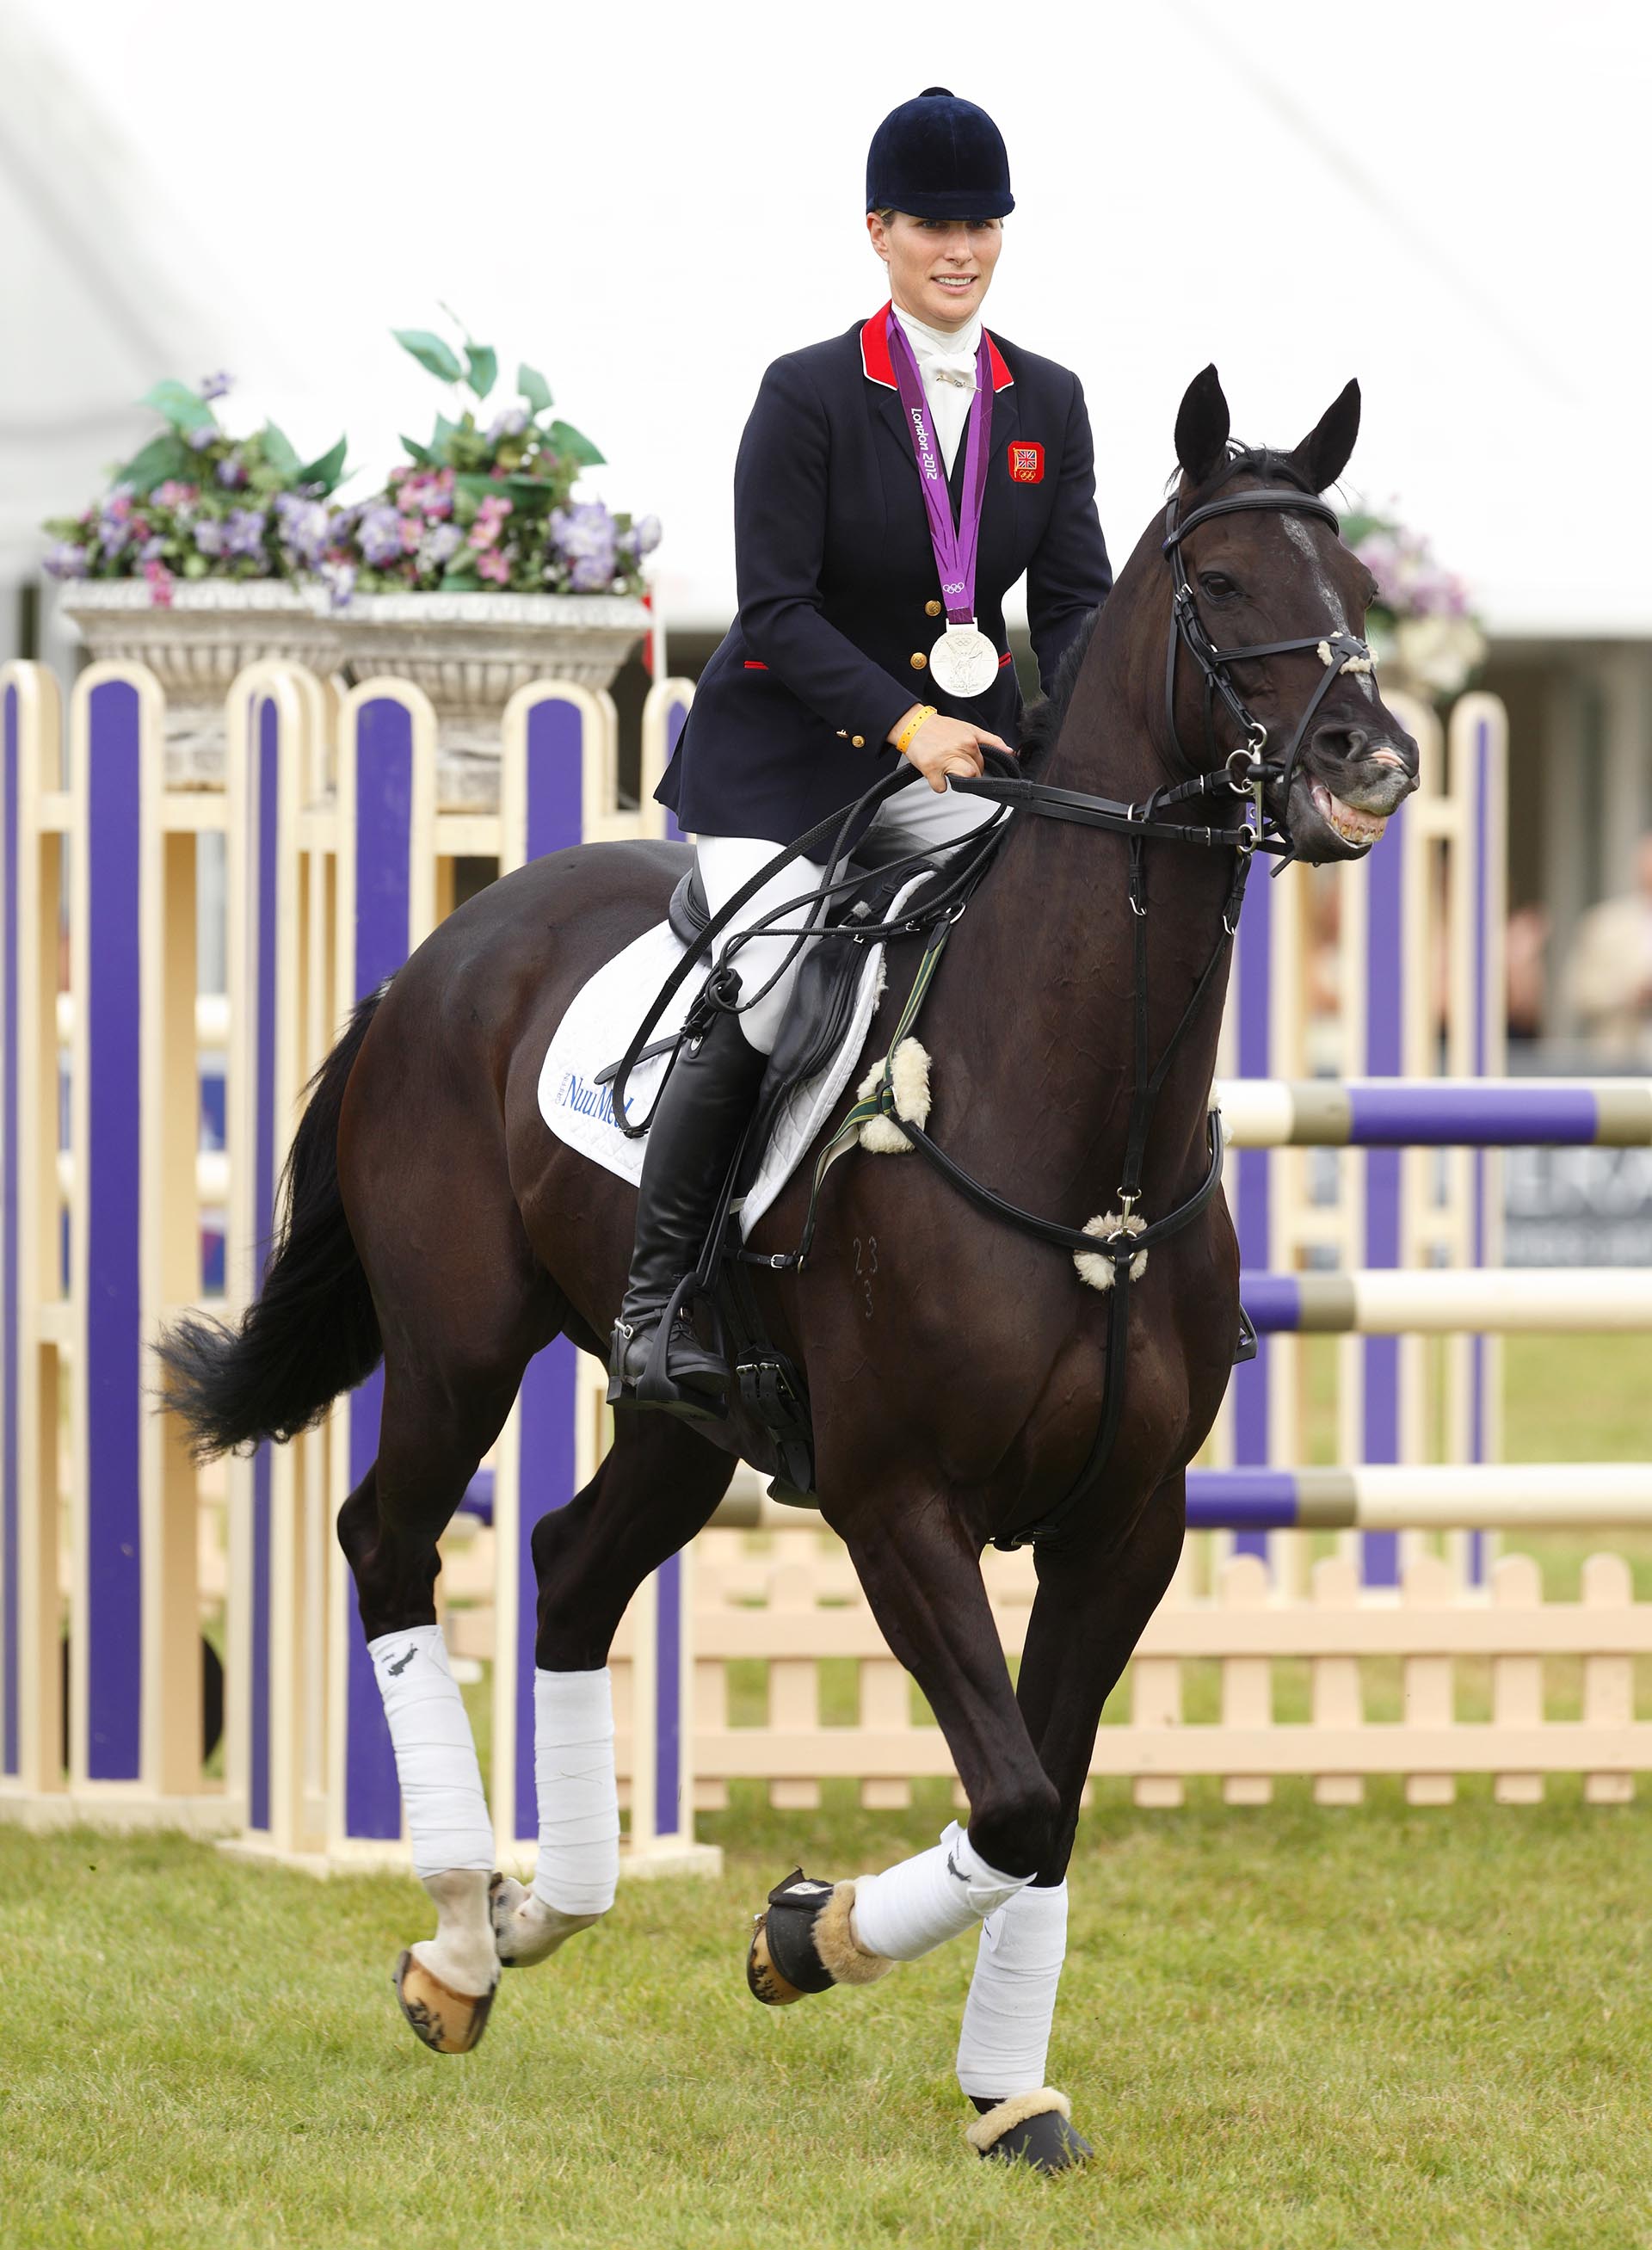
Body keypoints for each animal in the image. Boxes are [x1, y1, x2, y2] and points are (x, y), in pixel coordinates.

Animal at [165, 368, 1422, 2160]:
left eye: (1360, 590)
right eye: (1227, 583)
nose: (1368, 762)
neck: (1075, 1127)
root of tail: (449, 949)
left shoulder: (1128, 1520)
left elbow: (1050, 1804)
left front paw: (1005, 2092)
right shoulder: (901, 1502)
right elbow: (1016, 1800)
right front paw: (803, 1937)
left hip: (686, 1420)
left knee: (571, 1566)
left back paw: (548, 1902)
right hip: (462, 1347)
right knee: (388, 1543)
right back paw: (463, 1940)